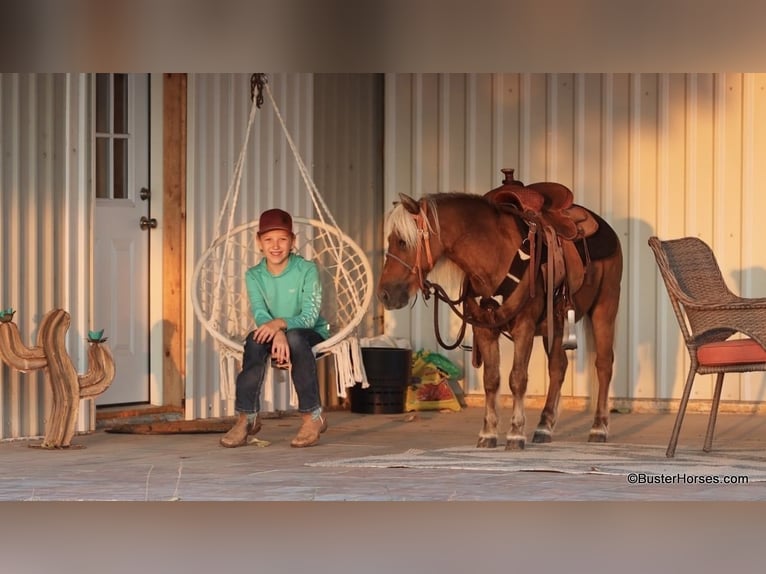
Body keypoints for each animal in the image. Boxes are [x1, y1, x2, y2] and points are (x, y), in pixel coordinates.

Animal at [378, 173, 624, 452]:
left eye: (402, 241)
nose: (385, 294)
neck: (494, 255)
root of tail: (604, 226)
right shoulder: (484, 329)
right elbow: (491, 380)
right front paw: (488, 434)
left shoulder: (524, 327)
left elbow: (517, 378)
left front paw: (515, 434)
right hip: (556, 323)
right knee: (558, 367)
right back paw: (544, 427)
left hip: (605, 308)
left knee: (603, 365)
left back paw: (598, 428)